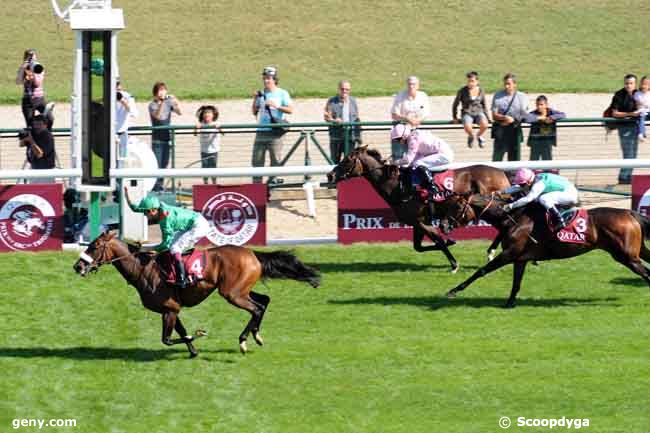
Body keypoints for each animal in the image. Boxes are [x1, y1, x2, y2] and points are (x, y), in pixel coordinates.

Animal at [72, 231, 320, 356]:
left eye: (94, 247)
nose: (78, 266)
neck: (143, 269)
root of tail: (252, 254)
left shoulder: (169, 309)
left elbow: (167, 339)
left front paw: (199, 334)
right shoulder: (171, 309)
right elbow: (178, 334)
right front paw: (193, 351)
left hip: (232, 293)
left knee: (257, 308)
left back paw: (244, 341)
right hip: (241, 290)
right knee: (264, 301)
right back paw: (256, 336)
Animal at [326, 147, 508, 272]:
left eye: (347, 160)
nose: (330, 175)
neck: (399, 186)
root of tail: (502, 173)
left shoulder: (421, 221)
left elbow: (438, 240)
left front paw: (454, 263)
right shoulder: (417, 222)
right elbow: (419, 247)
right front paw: (451, 242)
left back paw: (491, 252)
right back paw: (491, 251)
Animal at [440, 192, 648, 308]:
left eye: (456, 206)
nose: (442, 225)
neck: (513, 218)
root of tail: (629, 213)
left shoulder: (509, 254)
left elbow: (481, 271)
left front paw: (453, 290)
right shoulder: (520, 258)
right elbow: (516, 283)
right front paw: (509, 303)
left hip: (627, 257)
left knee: (647, 273)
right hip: (637, 253)